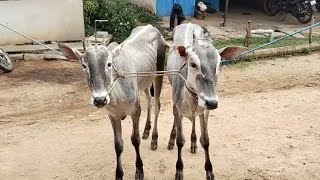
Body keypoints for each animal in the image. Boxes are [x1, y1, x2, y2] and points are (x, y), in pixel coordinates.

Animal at [58, 24, 166, 179]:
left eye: (109, 64)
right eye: (84, 65)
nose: (100, 99)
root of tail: (150, 26)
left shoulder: (135, 110)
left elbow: (135, 139)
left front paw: (139, 170)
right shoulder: (112, 115)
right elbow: (118, 145)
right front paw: (119, 174)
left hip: (159, 72)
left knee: (157, 104)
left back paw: (154, 139)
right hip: (145, 80)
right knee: (149, 100)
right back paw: (146, 130)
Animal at [166, 23, 246, 179]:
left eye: (220, 64)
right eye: (192, 64)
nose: (212, 102)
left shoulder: (204, 112)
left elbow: (206, 140)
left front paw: (209, 171)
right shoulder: (178, 109)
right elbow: (180, 140)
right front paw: (179, 170)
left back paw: (193, 142)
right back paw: (171, 140)